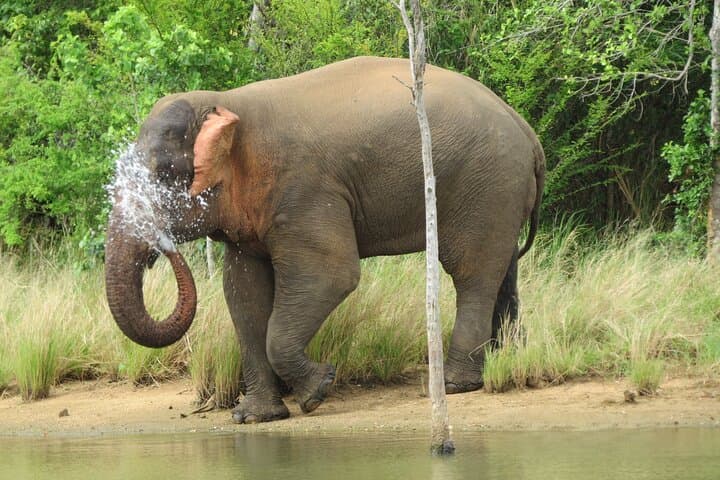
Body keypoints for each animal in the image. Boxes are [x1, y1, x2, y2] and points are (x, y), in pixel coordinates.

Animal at [105, 56, 544, 424]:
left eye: (163, 173)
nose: (160, 245)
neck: (224, 101)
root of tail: (526, 128)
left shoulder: (304, 188)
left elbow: (330, 274)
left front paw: (317, 392)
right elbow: (243, 293)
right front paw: (256, 418)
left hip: (486, 183)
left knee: (472, 272)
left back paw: (456, 384)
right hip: (499, 191)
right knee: (503, 272)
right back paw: (507, 359)